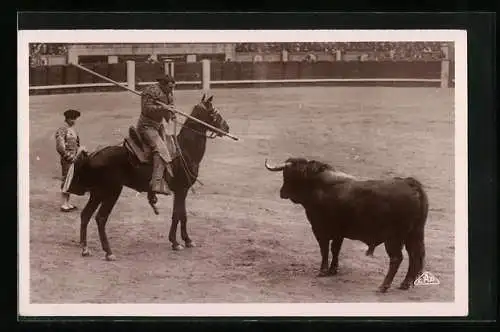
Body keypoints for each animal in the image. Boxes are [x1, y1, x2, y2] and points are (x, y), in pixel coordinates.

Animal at [67, 93, 230, 260]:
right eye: (214, 112)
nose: (226, 127)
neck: (185, 150)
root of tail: (92, 155)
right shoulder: (181, 190)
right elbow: (177, 214)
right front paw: (176, 242)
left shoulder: (181, 191)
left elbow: (182, 214)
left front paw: (186, 240)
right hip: (111, 191)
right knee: (100, 218)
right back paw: (109, 252)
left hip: (97, 193)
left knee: (85, 215)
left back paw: (85, 248)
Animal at [266, 157, 430, 292]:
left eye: (288, 175)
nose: (282, 193)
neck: (318, 186)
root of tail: (410, 184)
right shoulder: (339, 232)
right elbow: (335, 249)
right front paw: (333, 270)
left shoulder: (320, 229)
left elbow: (324, 249)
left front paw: (323, 271)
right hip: (415, 233)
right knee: (416, 255)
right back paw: (405, 284)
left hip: (394, 238)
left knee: (397, 258)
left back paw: (384, 286)